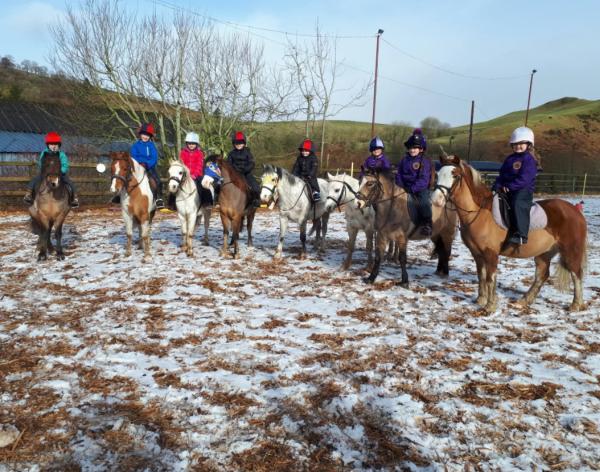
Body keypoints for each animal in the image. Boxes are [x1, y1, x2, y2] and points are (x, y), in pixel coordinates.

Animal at [434, 157, 588, 316]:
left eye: (455, 175)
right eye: (437, 174)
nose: (436, 200)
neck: (479, 213)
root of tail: (575, 211)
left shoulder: (491, 254)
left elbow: (490, 278)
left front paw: (490, 306)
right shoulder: (477, 253)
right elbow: (481, 275)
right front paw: (480, 300)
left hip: (570, 250)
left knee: (576, 274)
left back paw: (576, 305)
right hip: (544, 253)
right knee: (542, 275)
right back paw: (524, 301)